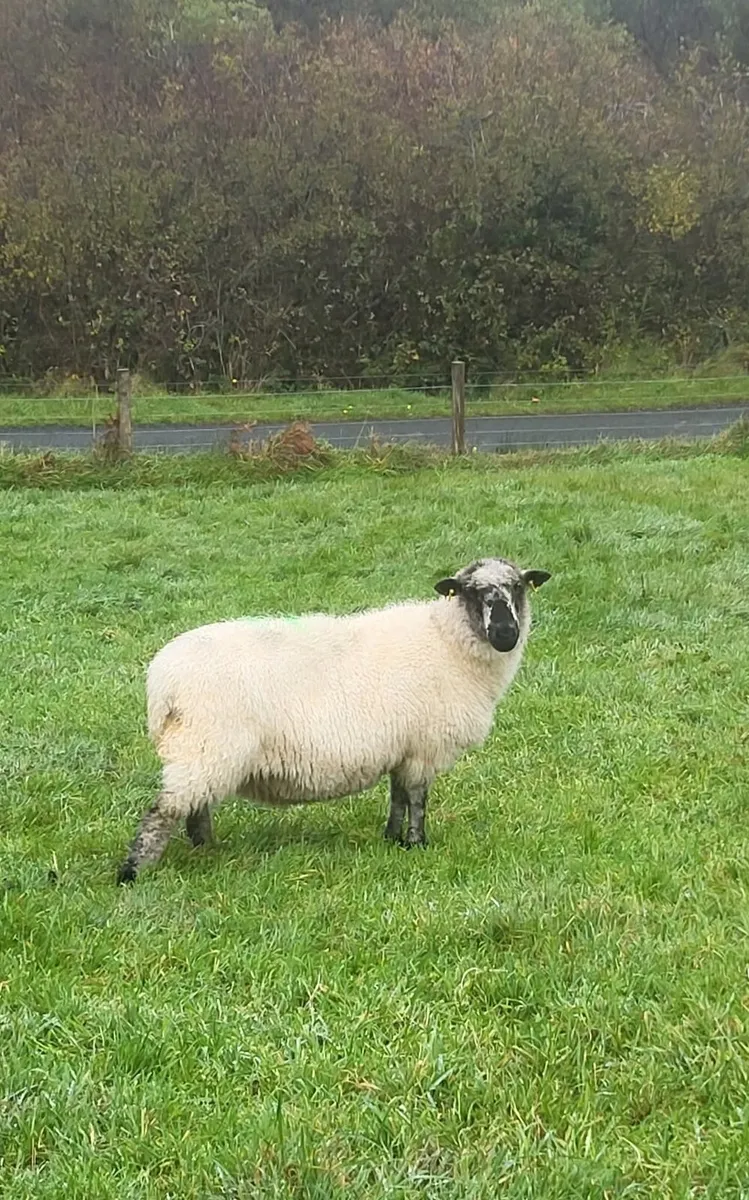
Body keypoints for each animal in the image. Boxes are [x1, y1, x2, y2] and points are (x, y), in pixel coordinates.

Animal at [117, 557, 551, 883]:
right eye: (471, 591)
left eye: (518, 587)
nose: (505, 633)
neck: (447, 641)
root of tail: (161, 682)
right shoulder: (423, 747)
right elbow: (417, 800)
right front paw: (417, 843)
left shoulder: (403, 746)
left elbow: (397, 796)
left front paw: (392, 839)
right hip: (206, 744)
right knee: (163, 812)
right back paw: (133, 873)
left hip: (201, 750)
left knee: (196, 805)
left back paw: (206, 849)